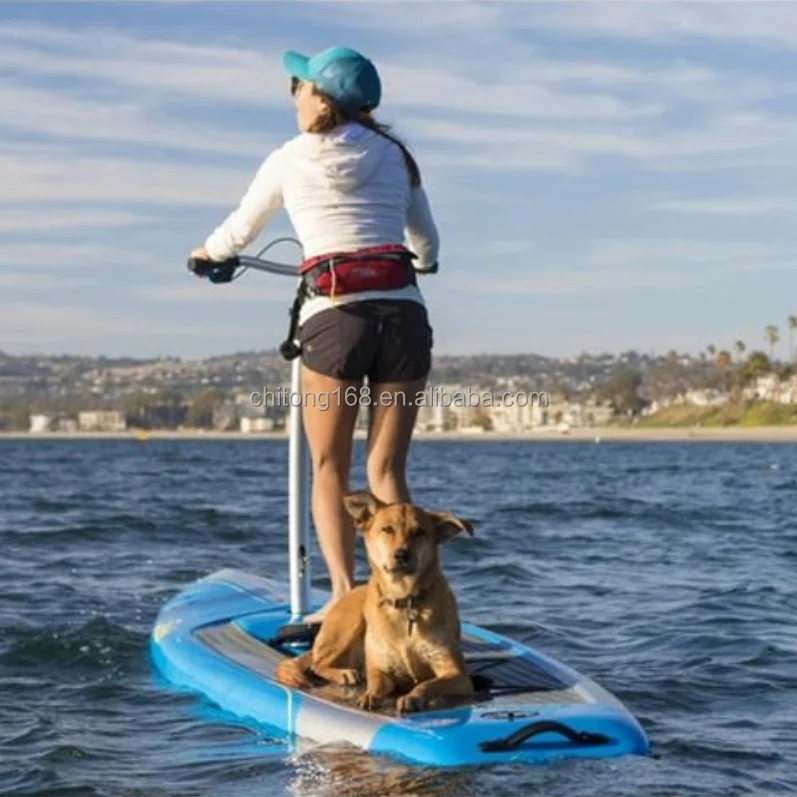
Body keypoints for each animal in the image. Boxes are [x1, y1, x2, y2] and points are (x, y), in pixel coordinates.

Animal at [276, 488, 472, 712]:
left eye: (420, 532)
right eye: (387, 529)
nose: (402, 554)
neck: (404, 599)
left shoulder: (456, 673)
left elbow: (426, 684)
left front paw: (412, 697)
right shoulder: (380, 668)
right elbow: (376, 683)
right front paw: (370, 695)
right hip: (350, 623)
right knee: (318, 663)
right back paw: (344, 673)